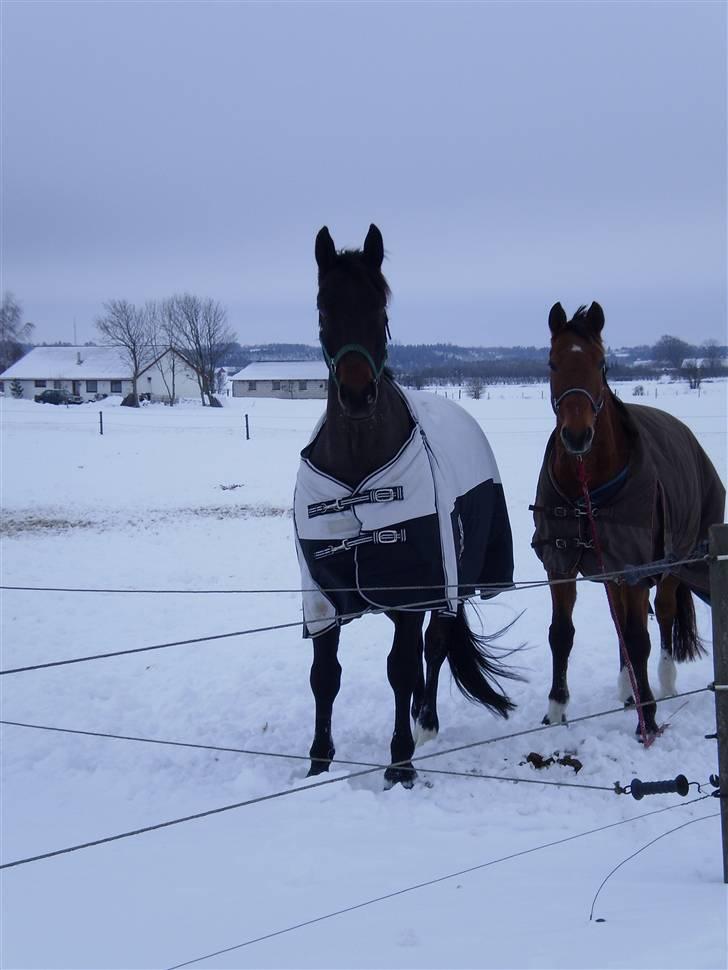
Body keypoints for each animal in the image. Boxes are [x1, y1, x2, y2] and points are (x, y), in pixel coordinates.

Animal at [292, 225, 516, 788]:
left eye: (380, 308)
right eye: (324, 306)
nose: (356, 395)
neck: (356, 472)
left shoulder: (413, 589)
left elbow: (401, 667)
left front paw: (399, 764)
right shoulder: (321, 595)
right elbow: (324, 676)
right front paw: (318, 763)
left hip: (449, 585)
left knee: (432, 649)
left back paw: (425, 722)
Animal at [532, 300, 724, 732]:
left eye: (601, 363)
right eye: (552, 362)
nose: (577, 436)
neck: (587, 488)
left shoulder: (636, 567)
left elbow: (640, 638)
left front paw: (648, 718)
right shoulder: (560, 564)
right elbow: (560, 634)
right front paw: (556, 708)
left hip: (672, 562)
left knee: (664, 616)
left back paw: (663, 685)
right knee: (621, 620)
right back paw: (627, 688)